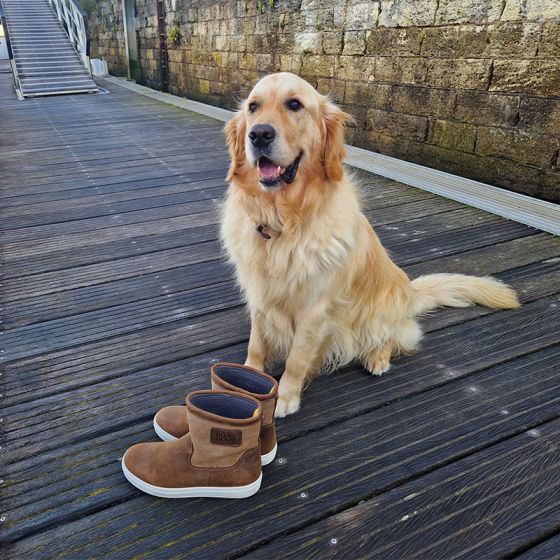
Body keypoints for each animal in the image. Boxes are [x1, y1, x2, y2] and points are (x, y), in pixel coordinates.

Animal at [221, 73, 520, 416]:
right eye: (253, 107)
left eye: (294, 104)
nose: (259, 134)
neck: (284, 221)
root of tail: (410, 294)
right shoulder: (259, 295)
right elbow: (256, 344)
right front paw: (247, 377)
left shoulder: (315, 309)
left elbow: (296, 359)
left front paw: (285, 397)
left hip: (382, 311)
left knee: (394, 336)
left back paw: (378, 358)